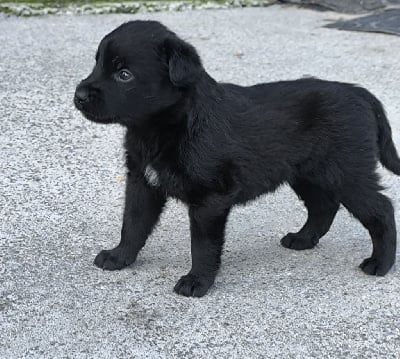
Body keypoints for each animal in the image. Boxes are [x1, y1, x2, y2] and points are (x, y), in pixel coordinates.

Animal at [73, 19, 398, 298]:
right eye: (96, 63)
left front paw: (197, 281)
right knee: (324, 206)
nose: (79, 95)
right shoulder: (143, 183)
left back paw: (381, 263)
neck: (167, 125)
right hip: (307, 174)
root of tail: (360, 93)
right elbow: (133, 223)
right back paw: (303, 239)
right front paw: (119, 257)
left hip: (348, 172)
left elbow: (203, 245)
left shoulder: (210, 199)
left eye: (124, 74)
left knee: (380, 209)